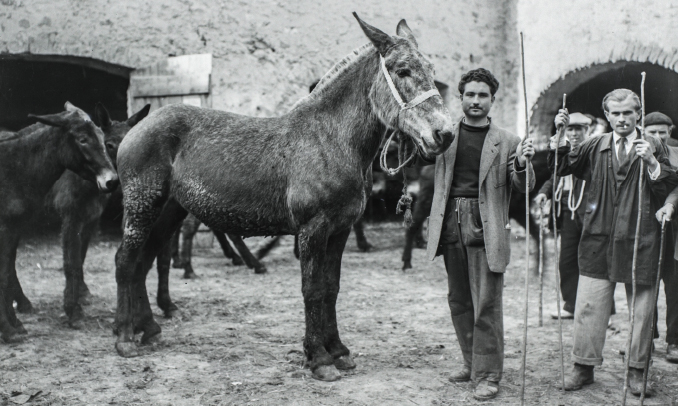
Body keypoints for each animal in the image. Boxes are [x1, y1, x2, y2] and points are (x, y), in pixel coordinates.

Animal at [0, 102, 117, 342]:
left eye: (103, 138)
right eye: (82, 139)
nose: (112, 181)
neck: (12, 168)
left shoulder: (14, 228)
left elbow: (6, 273)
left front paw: (13, 325)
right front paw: (7, 329)